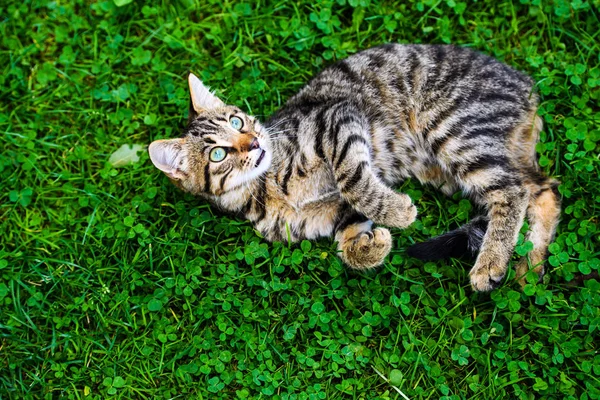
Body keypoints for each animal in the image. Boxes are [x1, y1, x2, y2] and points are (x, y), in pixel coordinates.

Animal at [148, 43, 560, 292]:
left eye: (237, 121)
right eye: (218, 155)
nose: (254, 142)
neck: (268, 186)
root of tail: (525, 86)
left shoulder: (338, 121)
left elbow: (353, 180)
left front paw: (398, 211)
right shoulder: (331, 215)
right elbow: (345, 247)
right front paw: (374, 246)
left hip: (452, 130)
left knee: (512, 192)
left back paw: (491, 262)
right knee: (542, 189)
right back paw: (529, 267)